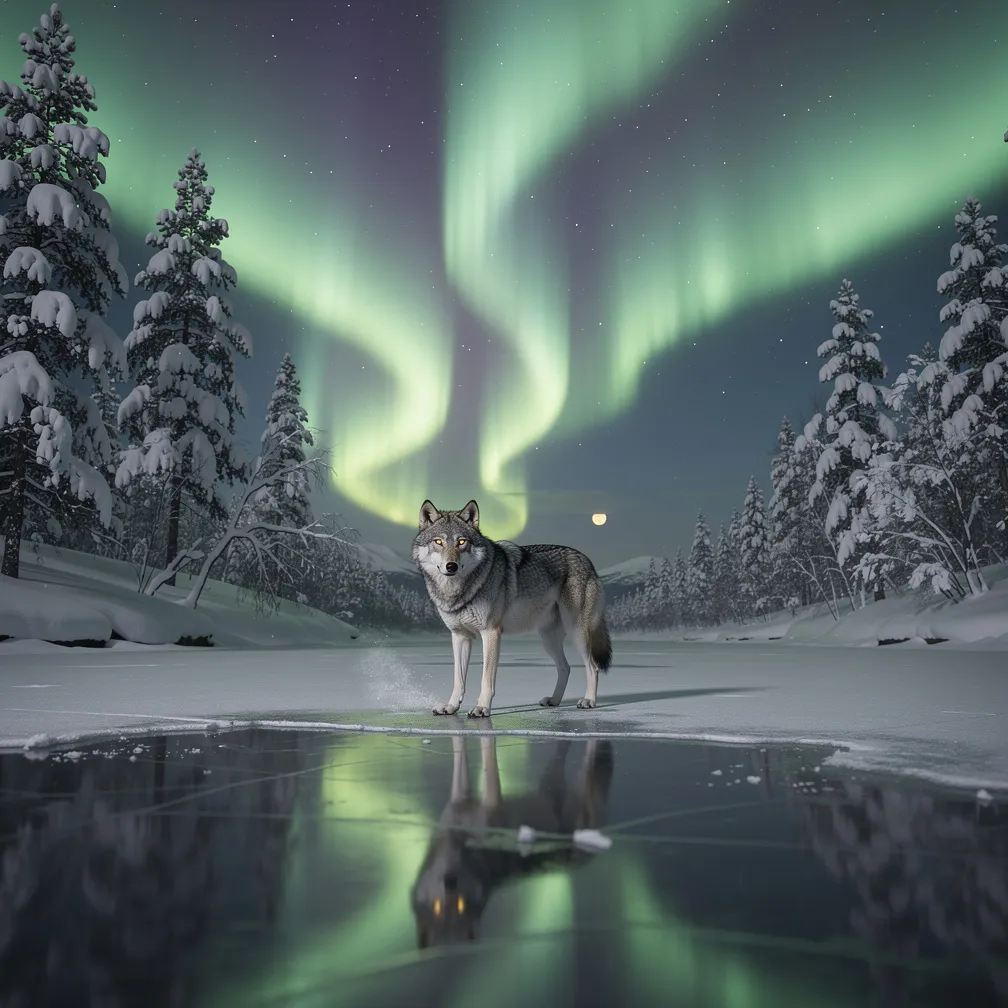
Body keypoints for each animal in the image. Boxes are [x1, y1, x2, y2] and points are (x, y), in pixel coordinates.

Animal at [411, 734, 615, 948]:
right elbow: (459, 747)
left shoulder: (492, 804)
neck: (458, 846)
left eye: (461, 905)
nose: (449, 883)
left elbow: (488, 755)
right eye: (436, 907)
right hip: (549, 783)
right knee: (562, 752)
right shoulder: (458, 800)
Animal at [412, 499, 612, 717]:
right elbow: (458, 679)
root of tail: (588, 561)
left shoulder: (491, 633)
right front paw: (451, 706)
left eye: (462, 542)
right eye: (438, 542)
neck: (459, 591)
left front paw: (482, 707)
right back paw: (554, 700)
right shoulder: (459, 636)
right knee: (565, 668)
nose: (451, 566)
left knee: (592, 667)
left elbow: (486, 678)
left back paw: (589, 700)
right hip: (548, 640)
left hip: (576, 632)